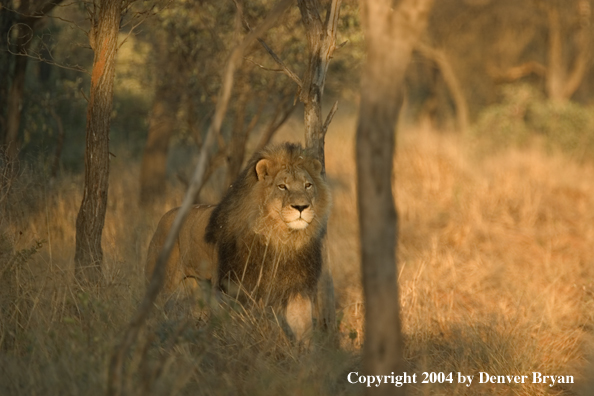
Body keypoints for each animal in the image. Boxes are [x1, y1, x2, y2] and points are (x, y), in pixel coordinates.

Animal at [143, 142, 328, 340]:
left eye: (308, 185)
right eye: (282, 186)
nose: (301, 207)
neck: (283, 239)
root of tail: (167, 214)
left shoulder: (298, 289)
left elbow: (304, 328)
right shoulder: (236, 288)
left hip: (200, 285)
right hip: (162, 282)